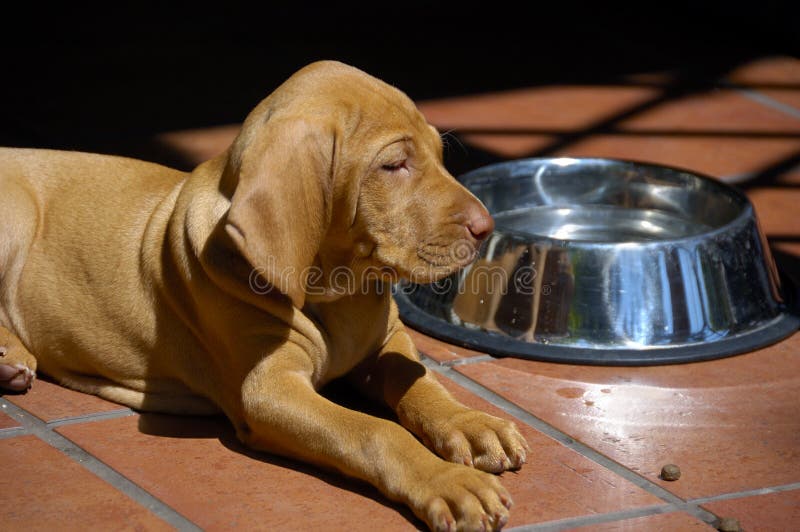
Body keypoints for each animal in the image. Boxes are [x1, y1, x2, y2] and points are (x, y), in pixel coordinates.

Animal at [1, 60, 532, 528]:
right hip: (16, 215)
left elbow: (416, 377)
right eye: (394, 165)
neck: (336, 291)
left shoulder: (387, 341)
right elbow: (373, 432)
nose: (486, 227)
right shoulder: (270, 391)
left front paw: (470, 423)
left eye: (438, 155)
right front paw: (447, 481)